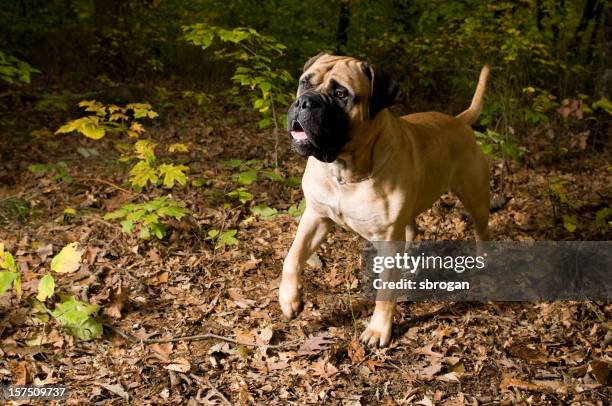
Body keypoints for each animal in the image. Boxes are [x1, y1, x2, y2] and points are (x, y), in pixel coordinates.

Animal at [280, 52, 490, 348]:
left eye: (340, 94)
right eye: (304, 83)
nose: (304, 102)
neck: (345, 170)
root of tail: (459, 120)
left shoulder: (388, 239)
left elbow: (385, 293)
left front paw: (378, 329)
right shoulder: (316, 216)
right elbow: (292, 256)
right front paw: (289, 299)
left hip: (476, 200)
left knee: (482, 232)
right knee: (413, 230)